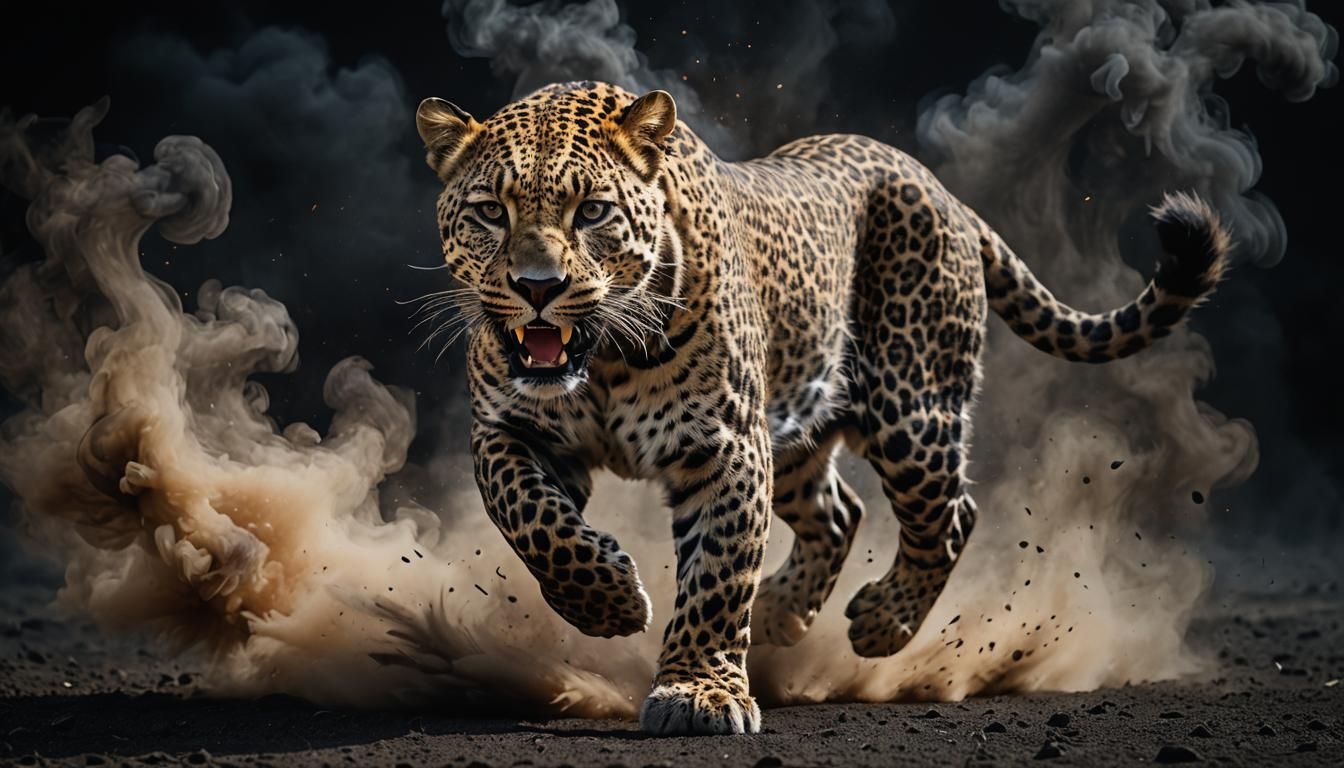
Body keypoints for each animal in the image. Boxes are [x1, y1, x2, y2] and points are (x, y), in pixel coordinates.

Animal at [414, 81, 1230, 735]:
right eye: (490, 212)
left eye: (592, 212)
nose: (537, 287)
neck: (606, 360)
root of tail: (940, 188)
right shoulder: (508, 430)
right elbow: (534, 521)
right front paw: (607, 603)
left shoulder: (725, 447)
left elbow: (717, 574)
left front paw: (699, 692)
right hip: (802, 432)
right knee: (841, 512)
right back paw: (782, 612)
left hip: (911, 413)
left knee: (949, 514)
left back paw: (881, 622)